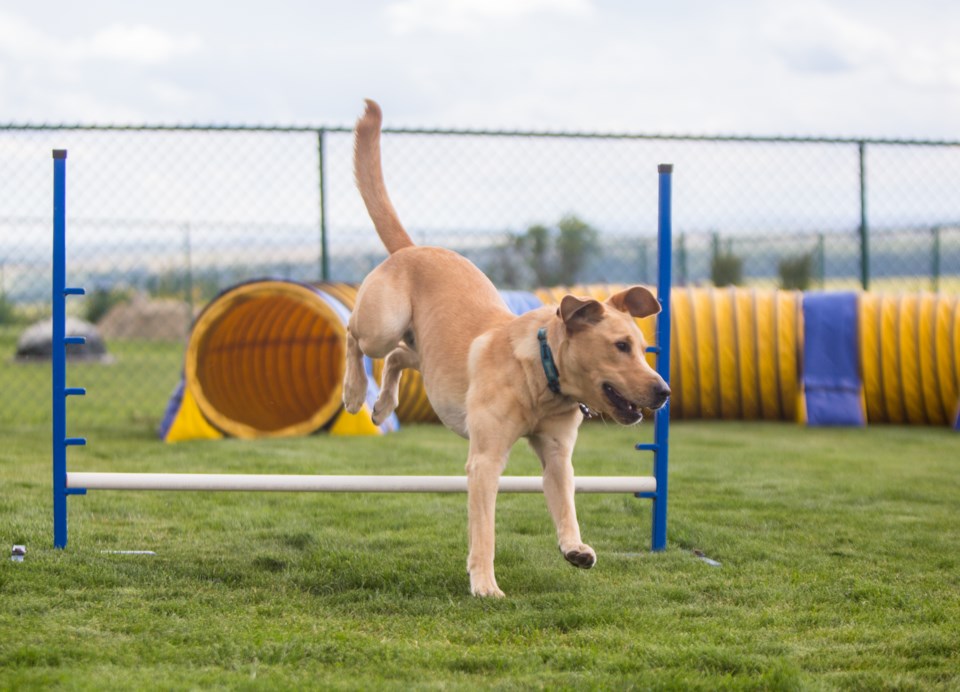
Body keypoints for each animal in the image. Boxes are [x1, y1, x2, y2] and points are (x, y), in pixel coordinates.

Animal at [344, 100, 668, 596]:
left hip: (427, 356)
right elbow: (485, 531)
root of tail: (414, 249)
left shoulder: (557, 456)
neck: (542, 375)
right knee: (352, 333)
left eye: (643, 348)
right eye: (620, 346)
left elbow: (566, 505)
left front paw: (576, 549)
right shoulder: (485, 460)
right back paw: (355, 393)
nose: (664, 392)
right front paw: (484, 584)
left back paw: (382, 407)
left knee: (398, 357)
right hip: (382, 322)